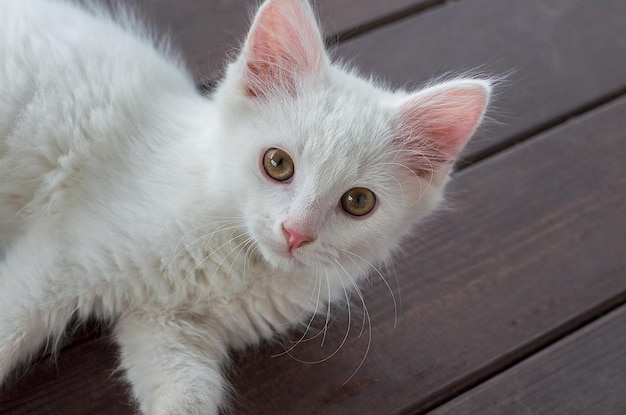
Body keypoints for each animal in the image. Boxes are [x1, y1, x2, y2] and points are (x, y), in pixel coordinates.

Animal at [0, 0, 488, 412]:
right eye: (277, 163)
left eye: (358, 202)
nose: (296, 232)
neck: (239, 259)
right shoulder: (60, 258)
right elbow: (11, 324)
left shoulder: (169, 327)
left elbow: (186, 394)